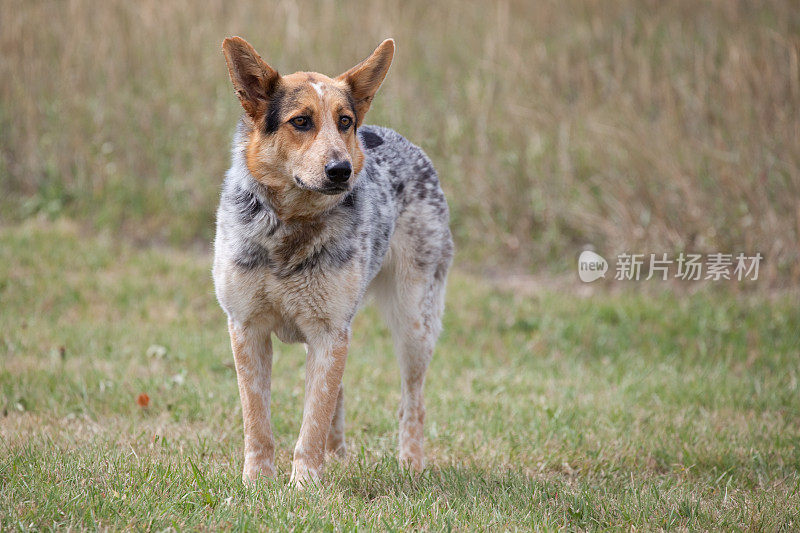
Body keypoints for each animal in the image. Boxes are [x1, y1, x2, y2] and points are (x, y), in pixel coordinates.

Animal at [212, 35, 454, 484]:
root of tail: (389, 135)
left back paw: (411, 466)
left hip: (414, 324)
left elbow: (312, 421)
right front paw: (257, 483)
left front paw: (304, 487)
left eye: (344, 121)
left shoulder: (329, 333)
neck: (290, 226)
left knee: (412, 402)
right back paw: (338, 457)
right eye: (301, 122)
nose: (341, 169)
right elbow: (258, 421)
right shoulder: (247, 328)